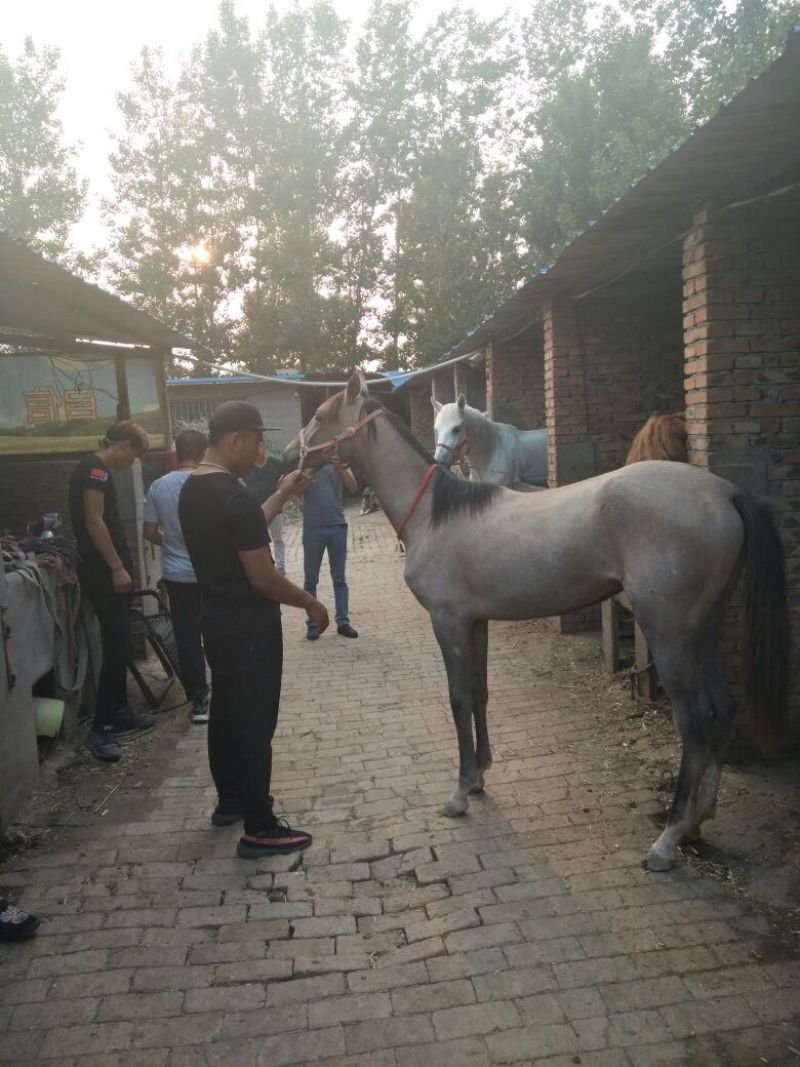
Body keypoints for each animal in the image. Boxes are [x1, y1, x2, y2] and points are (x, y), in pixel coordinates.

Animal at [284, 371, 789, 872]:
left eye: (320, 415)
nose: (290, 456)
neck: (435, 513)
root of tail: (725, 492)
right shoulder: (476, 622)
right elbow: (480, 694)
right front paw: (480, 777)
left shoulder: (449, 622)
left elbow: (458, 699)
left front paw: (459, 793)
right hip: (702, 630)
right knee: (723, 708)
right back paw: (699, 820)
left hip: (670, 636)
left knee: (696, 721)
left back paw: (668, 840)